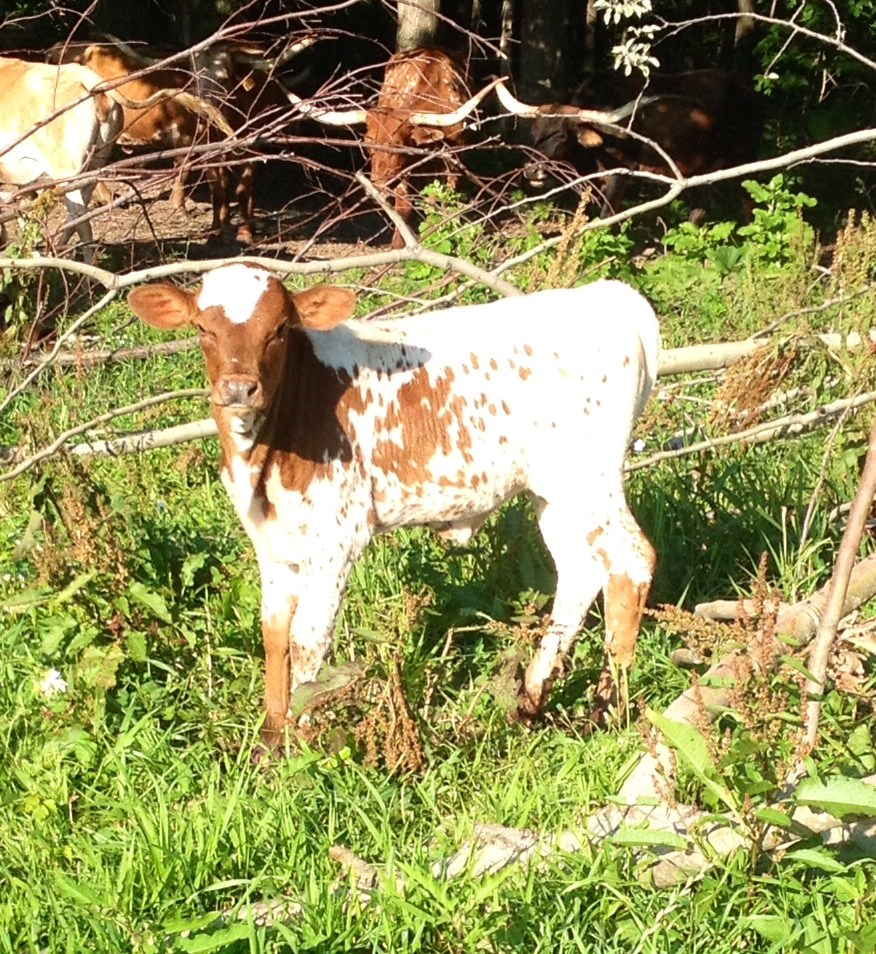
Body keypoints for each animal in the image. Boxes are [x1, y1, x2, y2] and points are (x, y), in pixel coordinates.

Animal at [0, 57, 122, 260]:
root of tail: (89, 79)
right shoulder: (23, 183)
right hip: (92, 169)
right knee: (75, 218)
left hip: (67, 173)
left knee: (82, 222)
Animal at [128, 263, 659, 753]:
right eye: (202, 327)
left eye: (278, 328)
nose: (239, 388)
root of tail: (610, 296)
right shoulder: (272, 543)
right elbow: (274, 633)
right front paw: (272, 741)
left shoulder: (337, 537)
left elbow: (307, 638)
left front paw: (301, 741)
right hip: (554, 491)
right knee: (580, 571)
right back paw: (531, 702)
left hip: (590, 479)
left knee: (631, 560)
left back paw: (609, 710)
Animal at [500, 69, 761, 218]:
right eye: (534, 131)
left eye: (562, 135)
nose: (532, 171)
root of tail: (748, 91)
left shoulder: (622, 173)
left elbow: (606, 217)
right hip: (698, 169)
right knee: (701, 207)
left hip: (745, 158)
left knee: (749, 201)